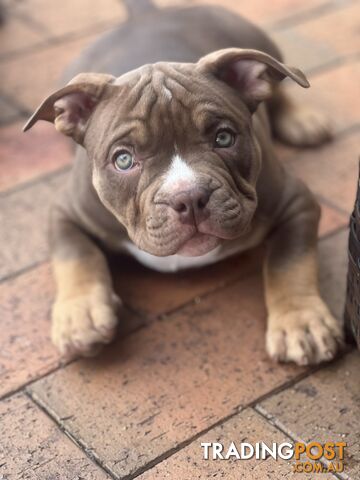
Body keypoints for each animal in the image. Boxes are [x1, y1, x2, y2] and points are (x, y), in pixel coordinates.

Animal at [23, 0, 342, 364]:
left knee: (277, 84)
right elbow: (75, 255)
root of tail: (146, 14)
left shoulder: (296, 202)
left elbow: (289, 259)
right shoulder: (66, 211)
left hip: (257, 41)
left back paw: (302, 120)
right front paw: (81, 316)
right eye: (123, 160)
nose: (189, 197)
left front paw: (301, 322)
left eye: (223, 138)